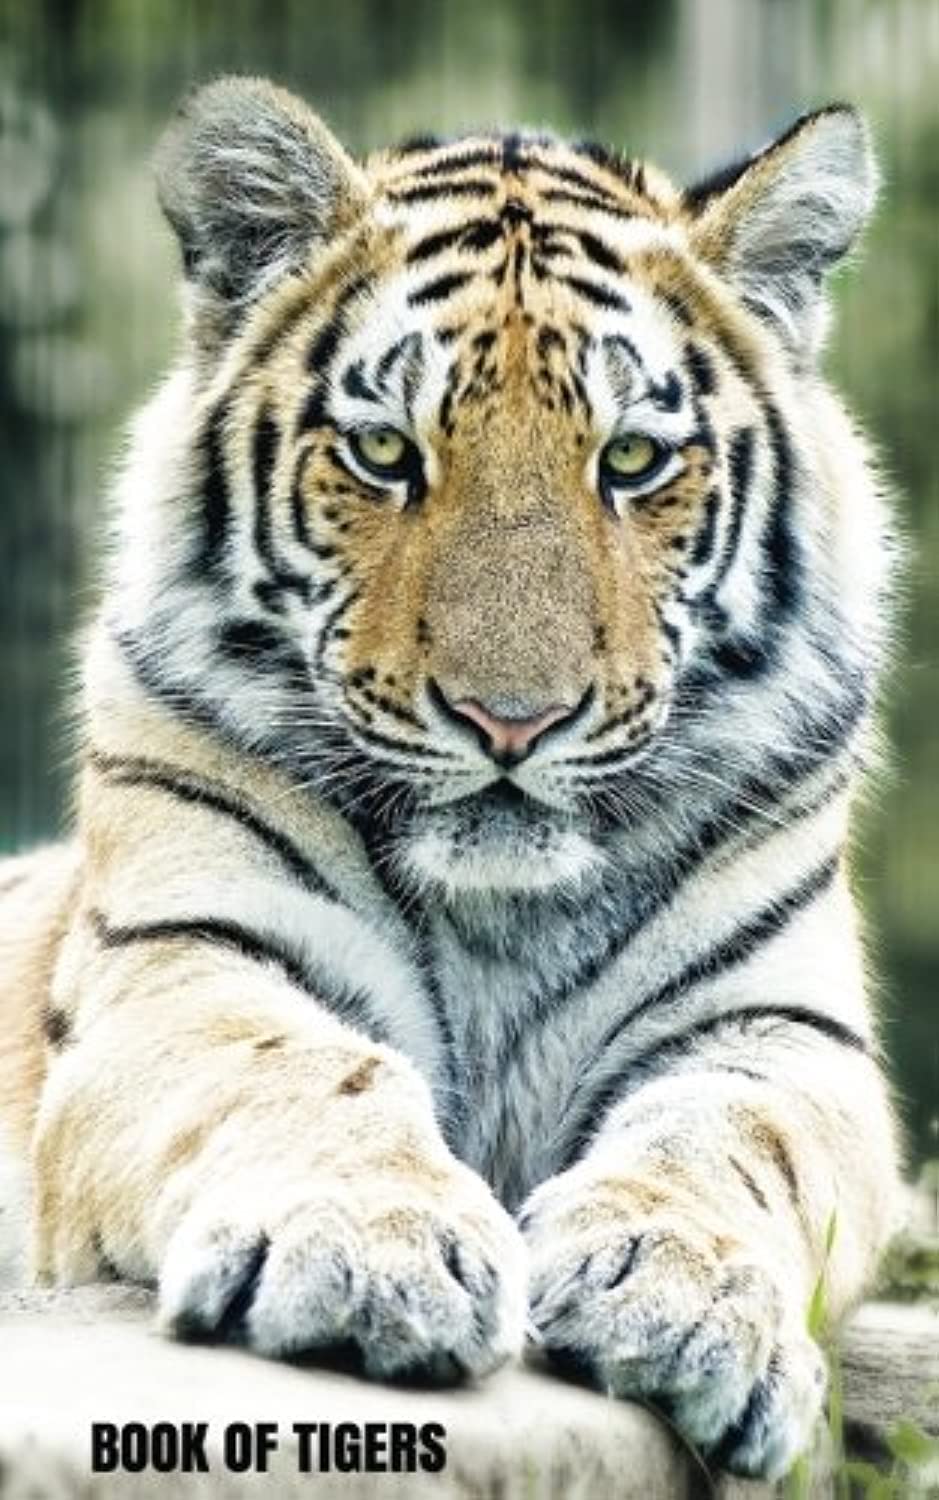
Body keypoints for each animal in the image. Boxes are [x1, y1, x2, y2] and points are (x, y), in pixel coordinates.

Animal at [0, 77, 901, 1481]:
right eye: (384, 451)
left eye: (632, 462)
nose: (510, 721)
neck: (500, 924)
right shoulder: (180, 964)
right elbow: (303, 1068)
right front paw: (365, 1253)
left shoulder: (782, 1030)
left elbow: (728, 1136)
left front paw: (677, 1291)